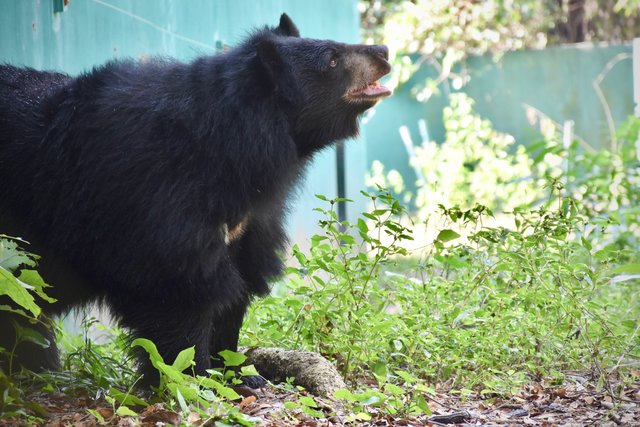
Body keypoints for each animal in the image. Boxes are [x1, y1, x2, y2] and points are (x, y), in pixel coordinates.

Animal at [0, 15, 390, 386]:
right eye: (333, 59)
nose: (384, 51)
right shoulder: (159, 201)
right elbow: (181, 285)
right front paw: (191, 376)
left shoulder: (248, 224)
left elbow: (238, 285)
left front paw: (240, 373)